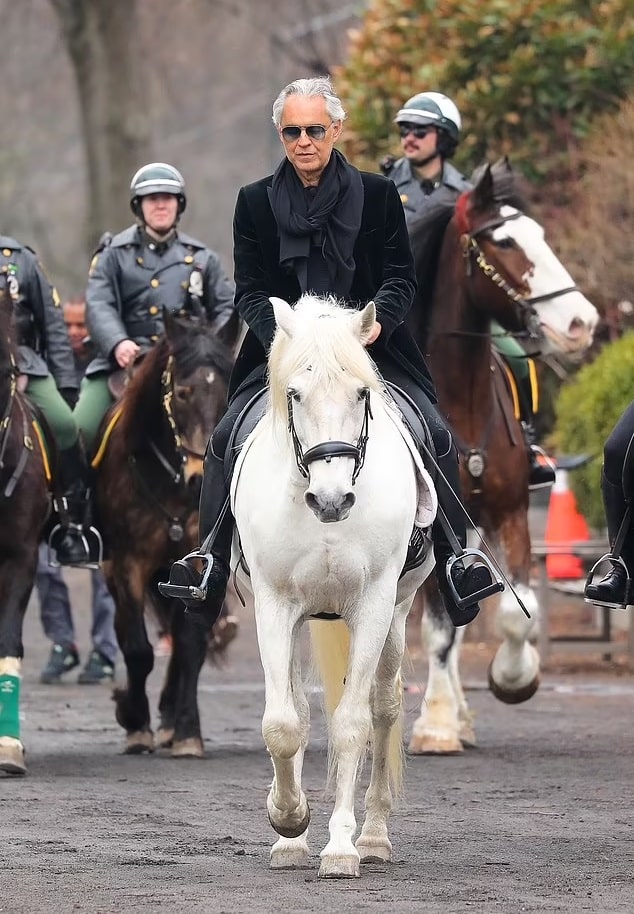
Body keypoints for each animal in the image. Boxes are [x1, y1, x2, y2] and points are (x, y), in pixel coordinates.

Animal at [95, 314, 238, 756]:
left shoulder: (195, 562)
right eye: (182, 392)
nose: (200, 480)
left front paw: (187, 731)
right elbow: (138, 649)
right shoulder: (126, 565)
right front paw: (135, 721)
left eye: (227, 392)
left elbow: (190, 646)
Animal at [230, 292, 436, 876]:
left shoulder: (373, 605)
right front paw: (288, 820)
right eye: (295, 394)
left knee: (385, 708)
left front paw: (341, 848)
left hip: (398, 613)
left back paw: (373, 837)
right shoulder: (274, 605)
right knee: (299, 709)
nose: (331, 500)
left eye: (362, 392)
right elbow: (283, 724)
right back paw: (293, 841)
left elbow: (351, 725)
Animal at [404, 159, 596, 756]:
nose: (581, 322)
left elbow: (512, 611)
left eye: (542, 233)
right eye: (505, 240)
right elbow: (437, 627)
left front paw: (514, 678)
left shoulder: (509, 513)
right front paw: (435, 724)